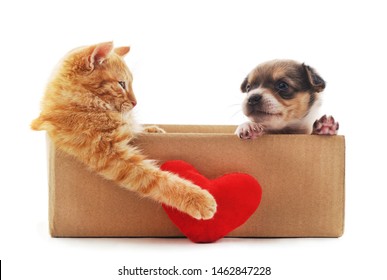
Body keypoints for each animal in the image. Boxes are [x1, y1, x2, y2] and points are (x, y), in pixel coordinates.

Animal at [31, 42, 217, 220]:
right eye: (121, 84)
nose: (135, 103)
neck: (84, 103)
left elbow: (137, 129)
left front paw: (154, 129)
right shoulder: (110, 154)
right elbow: (157, 178)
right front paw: (199, 199)